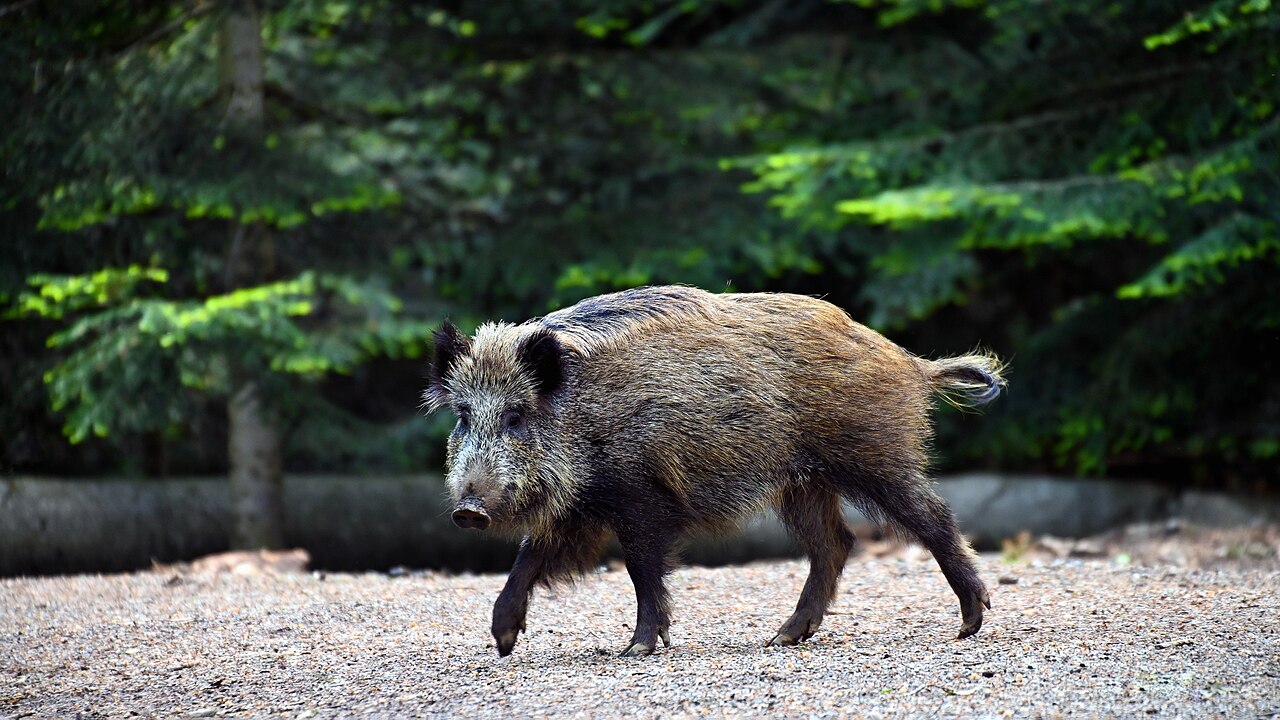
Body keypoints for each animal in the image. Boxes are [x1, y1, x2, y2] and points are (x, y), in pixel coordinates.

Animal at [423, 285, 1004, 657]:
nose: (468, 510)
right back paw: (782, 638)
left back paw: (969, 624)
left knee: (931, 517)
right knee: (835, 542)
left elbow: (641, 568)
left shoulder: (643, 496)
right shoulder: (581, 508)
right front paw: (502, 642)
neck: (584, 417)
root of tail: (914, 364)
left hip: (874, 454)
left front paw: (636, 649)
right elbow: (530, 557)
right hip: (803, 481)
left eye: (516, 416)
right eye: (463, 416)